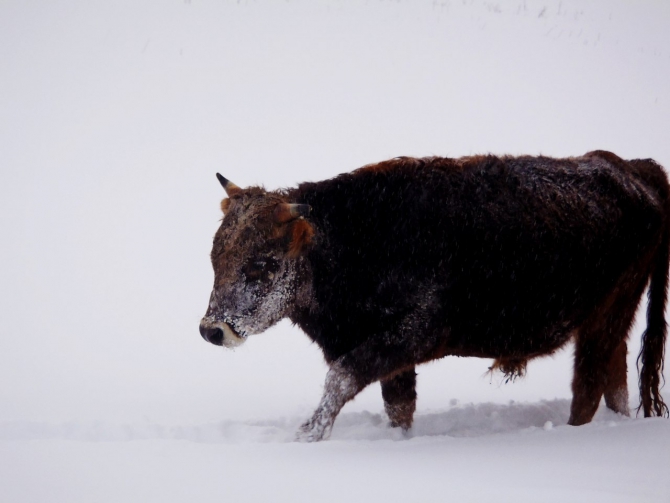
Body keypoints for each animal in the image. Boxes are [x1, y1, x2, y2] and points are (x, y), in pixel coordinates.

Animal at [200, 152, 670, 442]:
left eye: (261, 263)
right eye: (215, 256)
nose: (213, 330)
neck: (348, 242)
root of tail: (633, 172)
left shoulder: (410, 335)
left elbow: (342, 377)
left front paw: (307, 434)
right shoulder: (393, 358)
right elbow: (397, 406)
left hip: (603, 319)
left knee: (588, 385)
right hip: (610, 320)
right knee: (613, 376)